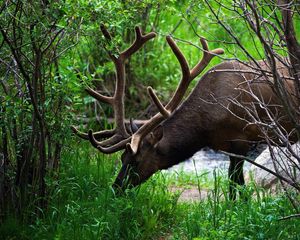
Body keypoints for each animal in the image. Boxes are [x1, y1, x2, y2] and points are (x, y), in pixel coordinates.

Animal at [72, 25, 296, 200]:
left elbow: (236, 186)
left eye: (136, 161)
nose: (115, 188)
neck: (206, 129)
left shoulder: (242, 141)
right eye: (121, 159)